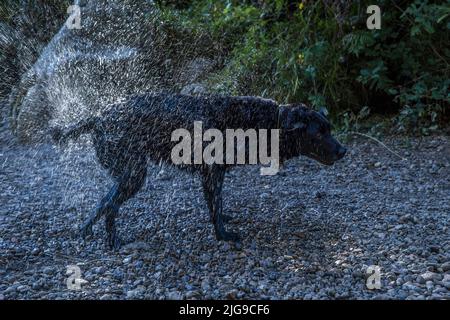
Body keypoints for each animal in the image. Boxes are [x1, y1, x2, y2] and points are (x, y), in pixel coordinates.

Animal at [51, 94, 346, 249]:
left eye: (329, 128)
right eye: (320, 133)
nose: (343, 151)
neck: (262, 122)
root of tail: (97, 116)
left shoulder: (215, 174)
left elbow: (217, 204)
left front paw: (224, 220)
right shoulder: (211, 172)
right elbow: (215, 207)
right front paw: (224, 235)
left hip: (127, 173)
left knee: (104, 202)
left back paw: (92, 232)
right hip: (134, 174)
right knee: (109, 205)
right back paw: (108, 238)